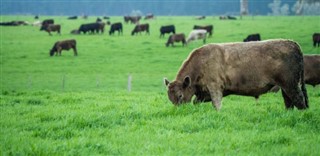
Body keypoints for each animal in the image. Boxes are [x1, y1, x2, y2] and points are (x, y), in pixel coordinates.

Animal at [164, 39, 308, 110]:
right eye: (170, 98)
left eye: (180, 95)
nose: (178, 111)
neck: (201, 62)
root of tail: (294, 44)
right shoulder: (202, 94)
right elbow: (196, 102)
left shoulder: (215, 88)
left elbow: (216, 105)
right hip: (285, 87)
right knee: (289, 103)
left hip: (291, 85)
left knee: (299, 101)